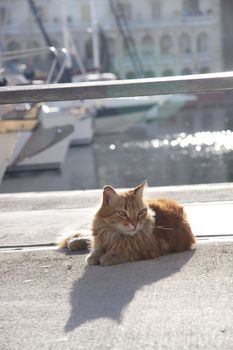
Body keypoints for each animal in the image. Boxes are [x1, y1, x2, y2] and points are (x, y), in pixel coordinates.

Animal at [58, 182, 195, 266]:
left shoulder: (148, 250)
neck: (113, 234)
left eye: (140, 212)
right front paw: (94, 255)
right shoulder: (101, 238)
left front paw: (108, 257)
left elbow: (125, 252)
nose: (135, 224)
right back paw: (75, 241)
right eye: (123, 213)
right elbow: (96, 248)